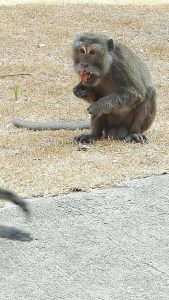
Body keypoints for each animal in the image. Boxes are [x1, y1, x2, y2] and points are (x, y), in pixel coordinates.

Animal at [11, 32, 156, 144]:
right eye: (81, 50)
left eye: (92, 52)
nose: (84, 64)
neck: (105, 69)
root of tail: (117, 131)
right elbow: (94, 96)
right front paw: (81, 91)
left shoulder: (121, 64)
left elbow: (136, 93)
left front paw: (98, 105)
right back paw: (93, 135)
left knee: (150, 93)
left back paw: (134, 134)